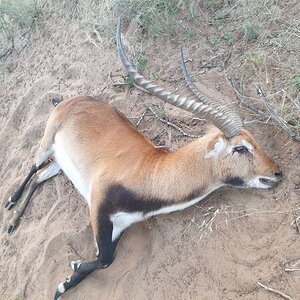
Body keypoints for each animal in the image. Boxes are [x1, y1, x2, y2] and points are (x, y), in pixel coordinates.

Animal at [4, 19, 282, 298]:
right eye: (240, 148)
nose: (276, 172)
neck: (151, 172)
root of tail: (72, 99)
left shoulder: (120, 225)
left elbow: (105, 258)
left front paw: (66, 281)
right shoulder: (97, 207)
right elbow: (104, 259)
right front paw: (70, 271)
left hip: (60, 164)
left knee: (41, 176)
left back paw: (13, 223)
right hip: (47, 144)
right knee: (33, 167)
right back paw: (10, 205)